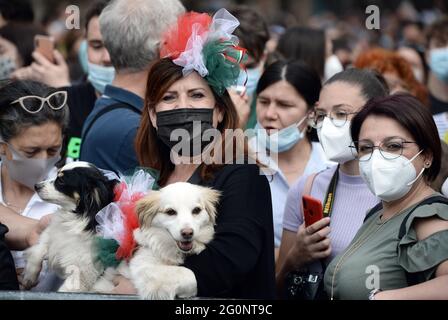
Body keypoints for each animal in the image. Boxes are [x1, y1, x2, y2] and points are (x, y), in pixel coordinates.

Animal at [22, 161, 119, 292]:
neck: (74, 217)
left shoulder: (83, 273)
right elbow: (38, 251)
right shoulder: (53, 236)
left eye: (61, 181)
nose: (36, 186)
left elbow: (65, 290)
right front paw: (29, 277)